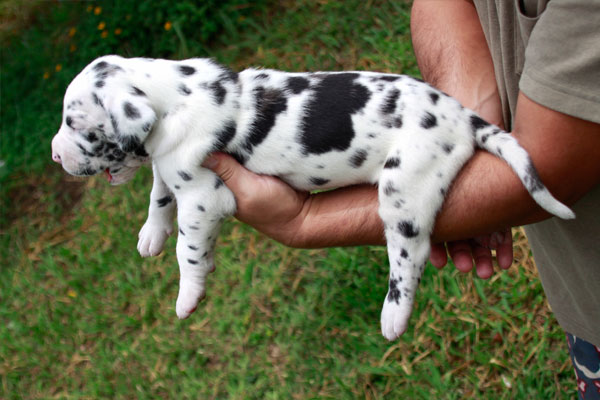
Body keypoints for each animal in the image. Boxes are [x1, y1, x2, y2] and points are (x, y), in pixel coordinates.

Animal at [49, 55, 576, 340]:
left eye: (75, 124)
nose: (55, 155)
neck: (173, 95)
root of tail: (460, 115)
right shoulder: (169, 163)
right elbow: (159, 193)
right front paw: (150, 234)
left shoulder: (203, 197)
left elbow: (189, 250)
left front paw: (187, 296)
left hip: (403, 190)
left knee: (410, 256)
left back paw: (394, 314)